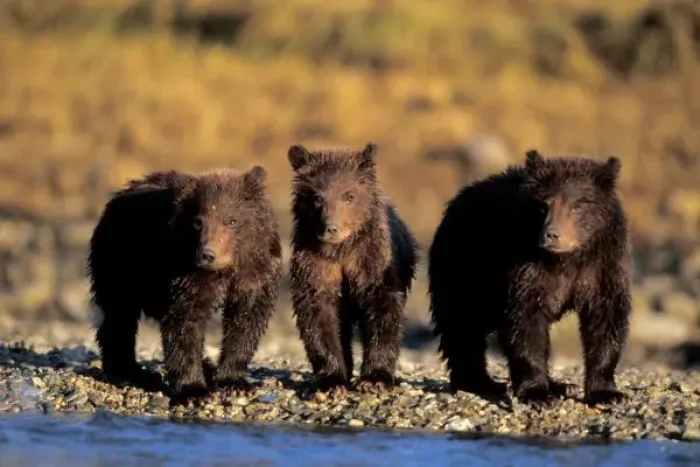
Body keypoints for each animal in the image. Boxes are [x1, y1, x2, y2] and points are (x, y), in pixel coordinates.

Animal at [87, 166, 283, 403]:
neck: (226, 269)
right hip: (122, 259)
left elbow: (246, 319)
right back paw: (131, 372)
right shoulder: (186, 272)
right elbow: (185, 322)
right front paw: (194, 390)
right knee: (118, 313)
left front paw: (233, 381)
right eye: (198, 221)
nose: (207, 254)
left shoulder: (255, 273)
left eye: (231, 220)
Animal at [287, 143, 418, 395]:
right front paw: (331, 381)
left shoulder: (372, 261)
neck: (341, 251)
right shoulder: (315, 264)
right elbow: (319, 314)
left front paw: (375, 379)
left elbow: (383, 309)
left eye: (349, 196)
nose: (331, 228)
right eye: (317, 197)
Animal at [427, 149, 631, 406]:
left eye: (578, 205)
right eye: (543, 205)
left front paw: (606, 393)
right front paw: (537, 393)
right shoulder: (526, 269)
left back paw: (559, 384)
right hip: (464, 265)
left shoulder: (601, 270)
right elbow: (525, 322)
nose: (551, 234)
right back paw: (480, 382)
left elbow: (605, 319)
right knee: (462, 323)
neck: (567, 260)